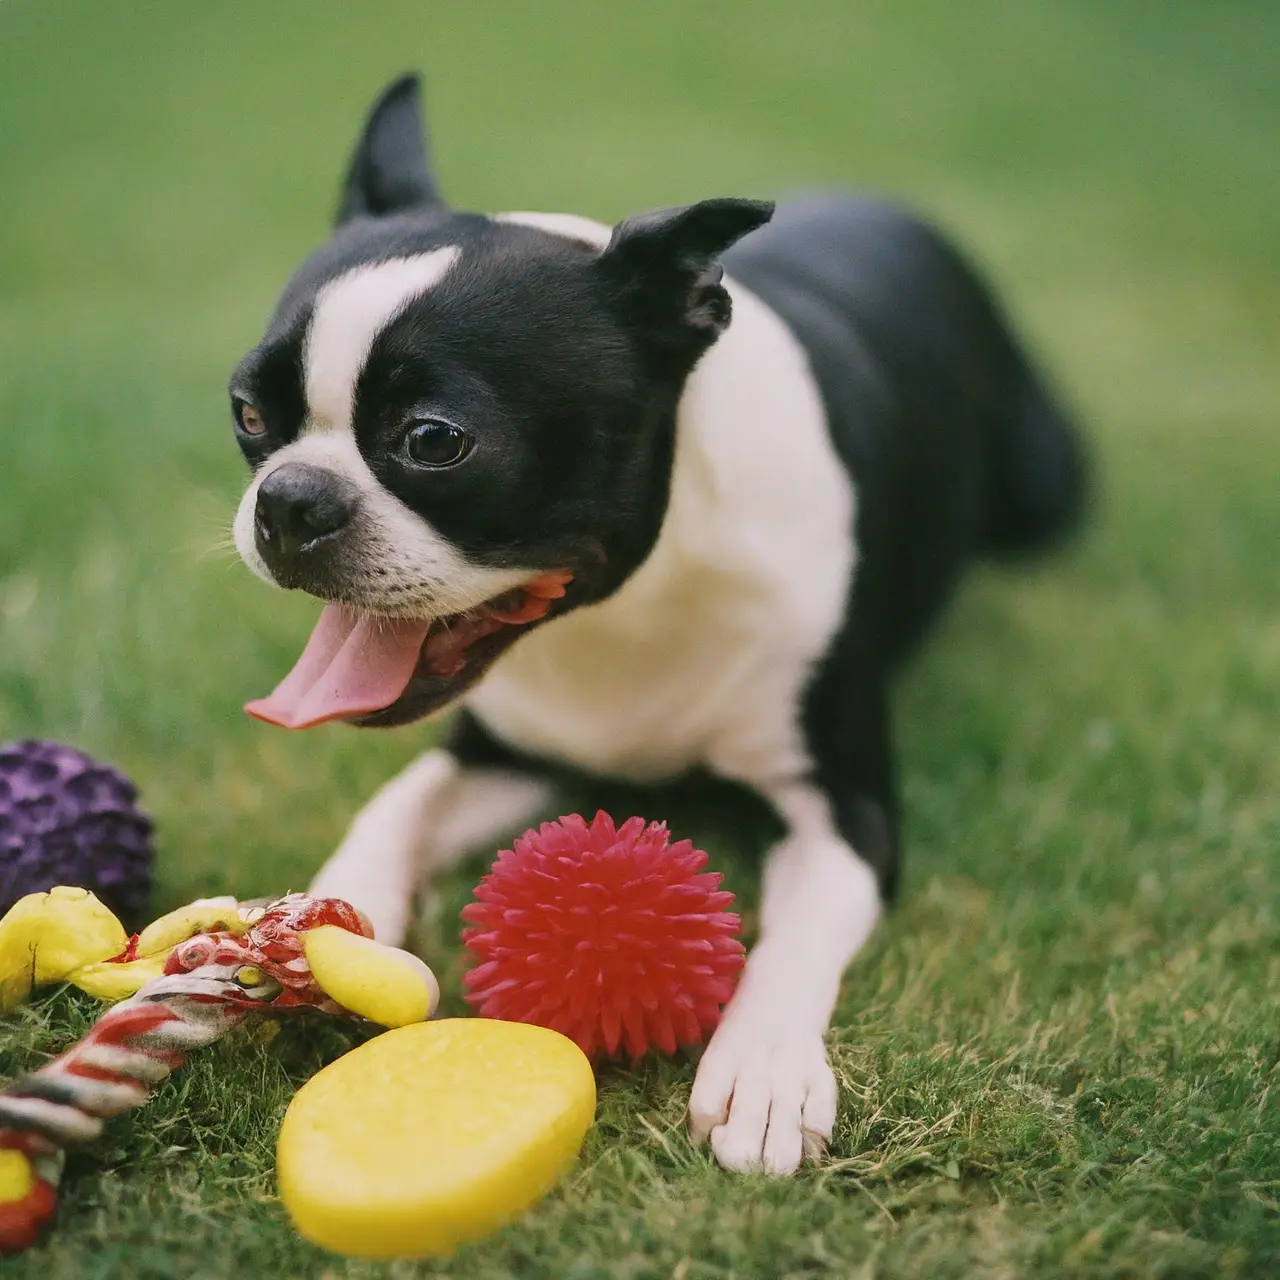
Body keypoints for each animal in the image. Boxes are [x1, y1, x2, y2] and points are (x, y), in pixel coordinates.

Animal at [230, 70, 1090, 1172]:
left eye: (434, 440)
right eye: (250, 413)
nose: (289, 500)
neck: (628, 607)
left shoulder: (845, 809)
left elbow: (793, 938)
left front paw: (765, 1071)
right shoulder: (512, 755)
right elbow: (394, 802)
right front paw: (333, 920)